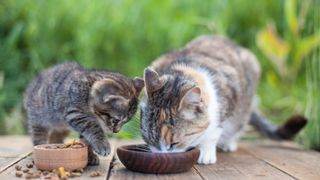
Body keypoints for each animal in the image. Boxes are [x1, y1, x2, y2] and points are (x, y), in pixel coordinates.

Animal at [141, 35, 306, 165]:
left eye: (174, 143)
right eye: (149, 140)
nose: (161, 157)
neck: (185, 69)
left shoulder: (228, 98)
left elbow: (214, 131)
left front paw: (205, 152)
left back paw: (229, 143)